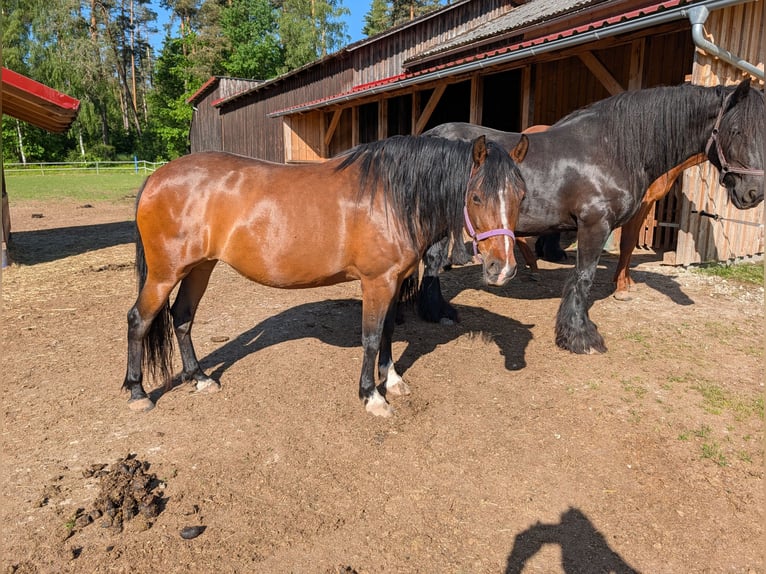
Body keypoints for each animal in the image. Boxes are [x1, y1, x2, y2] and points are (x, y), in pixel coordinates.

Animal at [122, 134, 529, 417]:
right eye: (476, 197)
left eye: (521, 196)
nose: (503, 269)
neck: (392, 197)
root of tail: (157, 178)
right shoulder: (377, 281)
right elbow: (370, 337)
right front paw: (372, 396)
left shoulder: (394, 281)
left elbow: (388, 332)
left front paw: (393, 380)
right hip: (164, 273)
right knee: (139, 319)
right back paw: (138, 393)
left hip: (200, 268)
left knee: (182, 318)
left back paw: (201, 378)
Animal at [420, 79, 764, 354]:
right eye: (736, 131)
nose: (753, 193)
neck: (614, 147)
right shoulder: (595, 224)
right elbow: (584, 277)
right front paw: (580, 337)